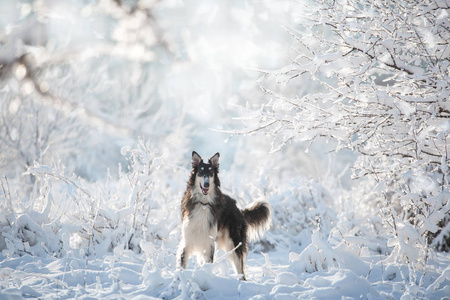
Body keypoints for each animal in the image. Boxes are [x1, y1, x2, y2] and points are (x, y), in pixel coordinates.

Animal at [178, 151, 270, 280]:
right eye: (200, 172)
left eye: (211, 173)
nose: (206, 184)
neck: (203, 203)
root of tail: (239, 210)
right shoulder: (187, 239)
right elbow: (182, 265)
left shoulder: (208, 243)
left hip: (234, 244)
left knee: (241, 271)